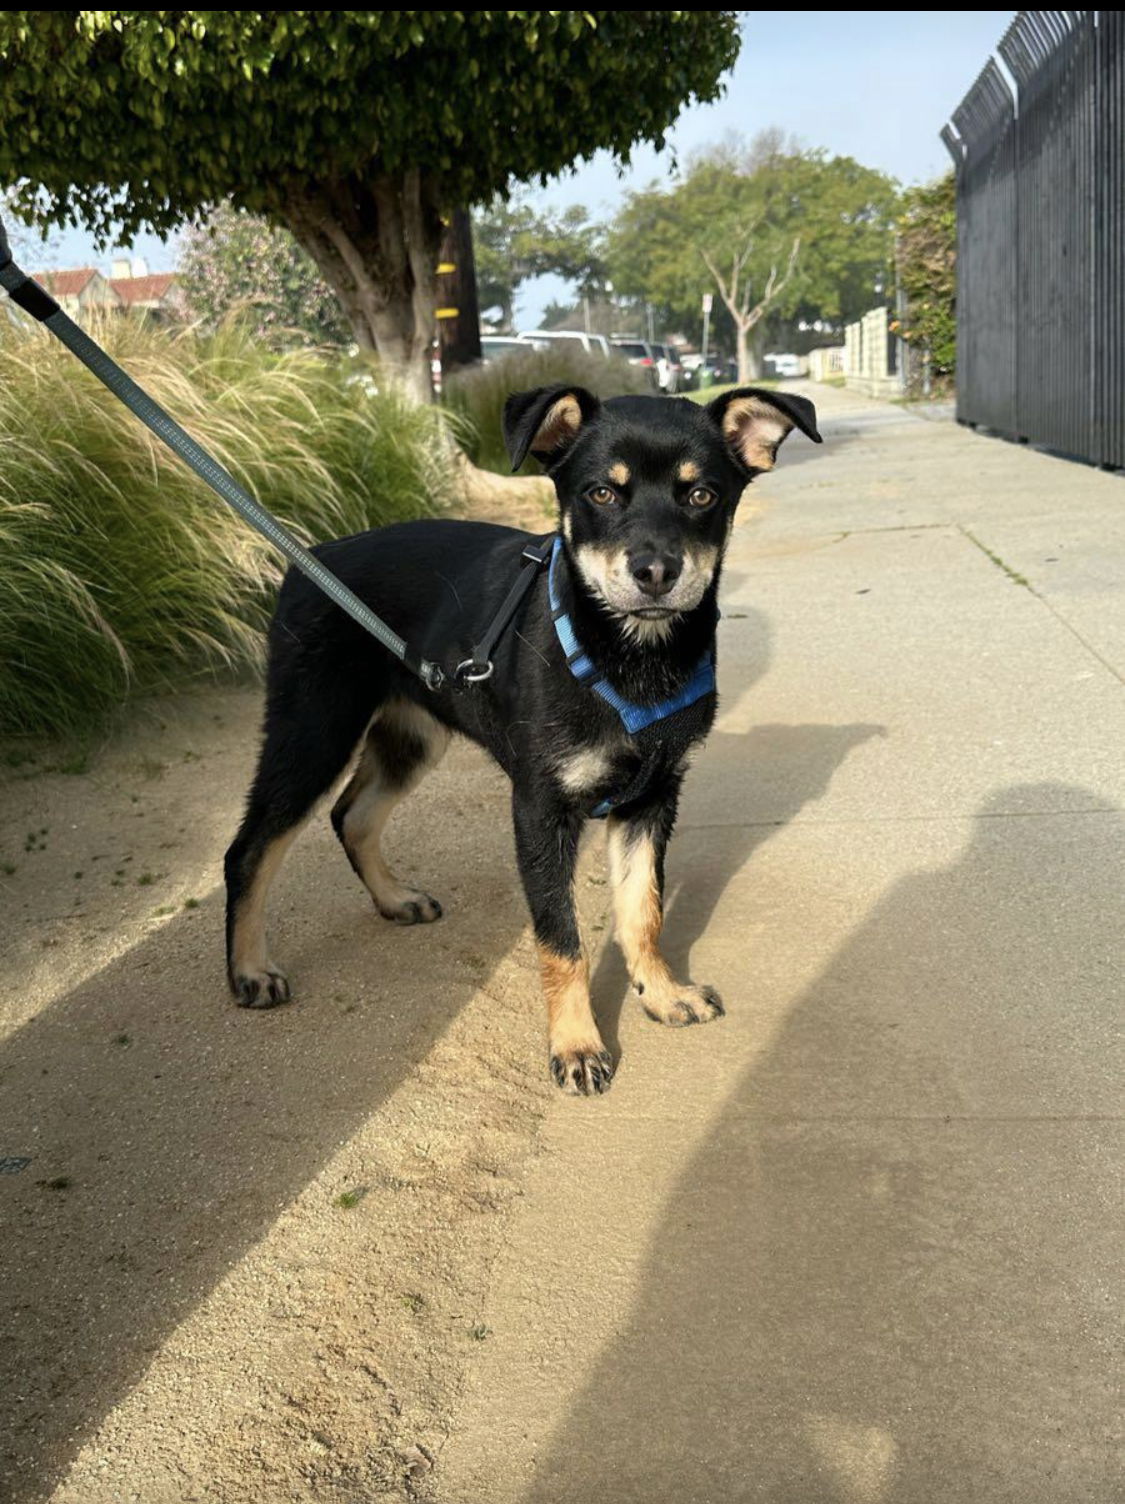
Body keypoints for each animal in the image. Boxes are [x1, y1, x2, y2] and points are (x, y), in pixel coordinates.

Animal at [224, 385, 824, 1094]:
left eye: (701, 494)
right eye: (601, 493)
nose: (655, 571)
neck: (627, 655)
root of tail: (310, 562)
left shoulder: (651, 798)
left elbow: (642, 910)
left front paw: (661, 993)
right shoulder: (541, 808)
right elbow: (562, 939)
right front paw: (576, 1046)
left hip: (412, 735)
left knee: (353, 814)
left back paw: (395, 899)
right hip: (313, 730)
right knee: (250, 848)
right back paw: (249, 971)